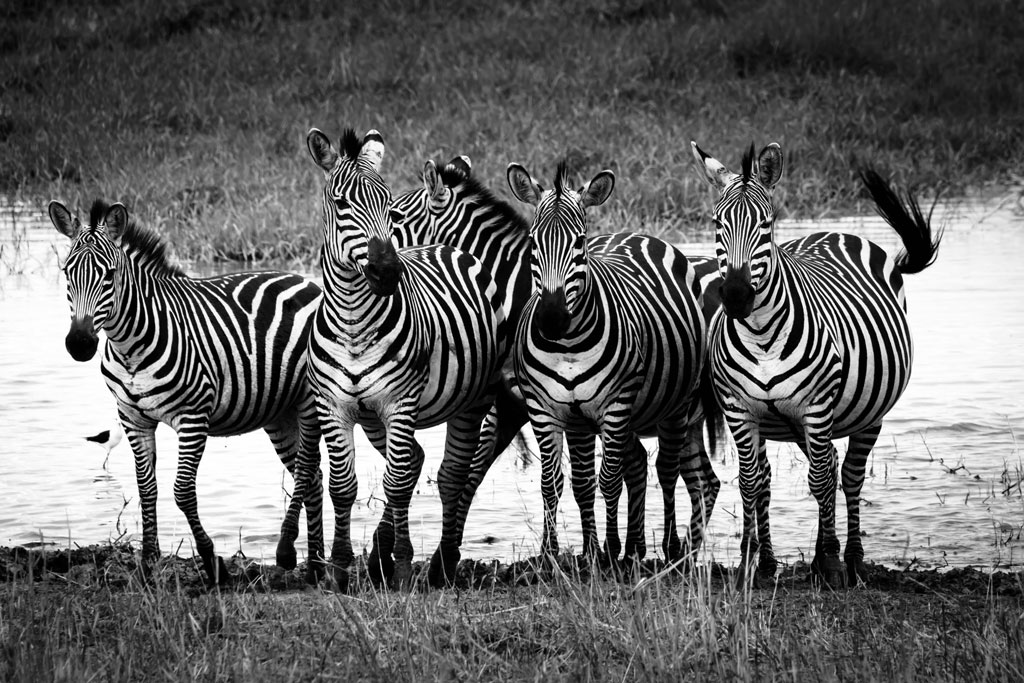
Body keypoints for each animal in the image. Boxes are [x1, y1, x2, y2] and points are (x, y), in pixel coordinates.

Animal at [49, 199, 324, 585]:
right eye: (67, 273)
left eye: (110, 275)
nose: (79, 344)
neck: (129, 346)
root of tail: (302, 280)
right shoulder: (132, 419)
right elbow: (147, 490)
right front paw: (147, 565)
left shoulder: (192, 418)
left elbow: (182, 492)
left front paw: (212, 562)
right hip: (279, 412)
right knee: (313, 478)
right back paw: (315, 566)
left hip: (308, 402)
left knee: (306, 470)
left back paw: (289, 553)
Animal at [293, 127, 507, 591]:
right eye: (340, 203)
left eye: (387, 206)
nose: (389, 271)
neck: (354, 326)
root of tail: (445, 246)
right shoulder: (334, 407)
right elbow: (343, 486)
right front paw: (340, 570)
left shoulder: (399, 403)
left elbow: (395, 483)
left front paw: (405, 566)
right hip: (373, 418)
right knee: (416, 464)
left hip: (472, 400)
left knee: (448, 473)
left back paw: (441, 565)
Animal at [505, 160, 718, 566]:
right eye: (533, 243)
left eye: (579, 243)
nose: (551, 319)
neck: (568, 345)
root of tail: (635, 234)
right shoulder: (551, 410)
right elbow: (563, 482)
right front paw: (562, 553)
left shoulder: (615, 406)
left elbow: (607, 479)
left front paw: (607, 550)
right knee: (647, 466)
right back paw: (637, 547)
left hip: (677, 405)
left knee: (668, 472)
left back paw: (669, 548)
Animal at [690, 141, 941, 587]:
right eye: (717, 223)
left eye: (766, 225)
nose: (736, 296)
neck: (761, 336)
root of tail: (836, 232)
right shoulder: (739, 410)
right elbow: (752, 483)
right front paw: (751, 564)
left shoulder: (816, 406)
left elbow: (820, 481)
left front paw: (827, 563)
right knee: (816, 469)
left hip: (867, 412)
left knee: (848, 475)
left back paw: (851, 560)